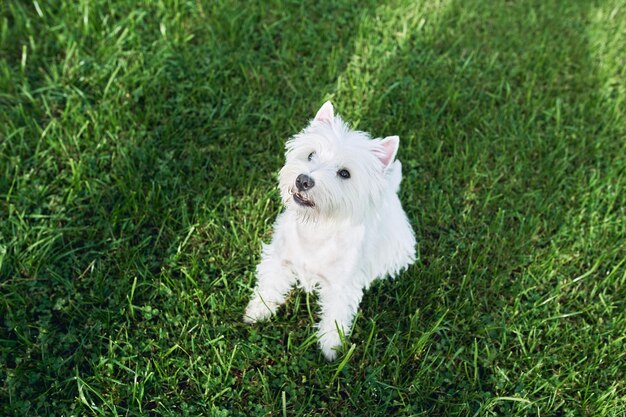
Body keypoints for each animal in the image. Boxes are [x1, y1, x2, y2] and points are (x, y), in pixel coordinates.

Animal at [244, 102, 414, 360]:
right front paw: (257, 311)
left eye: (345, 173)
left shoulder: (342, 286)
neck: (316, 229)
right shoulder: (280, 259)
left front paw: (330, 348)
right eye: (311, 155)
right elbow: (270, 286)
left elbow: (335, 316)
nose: (303, 180)